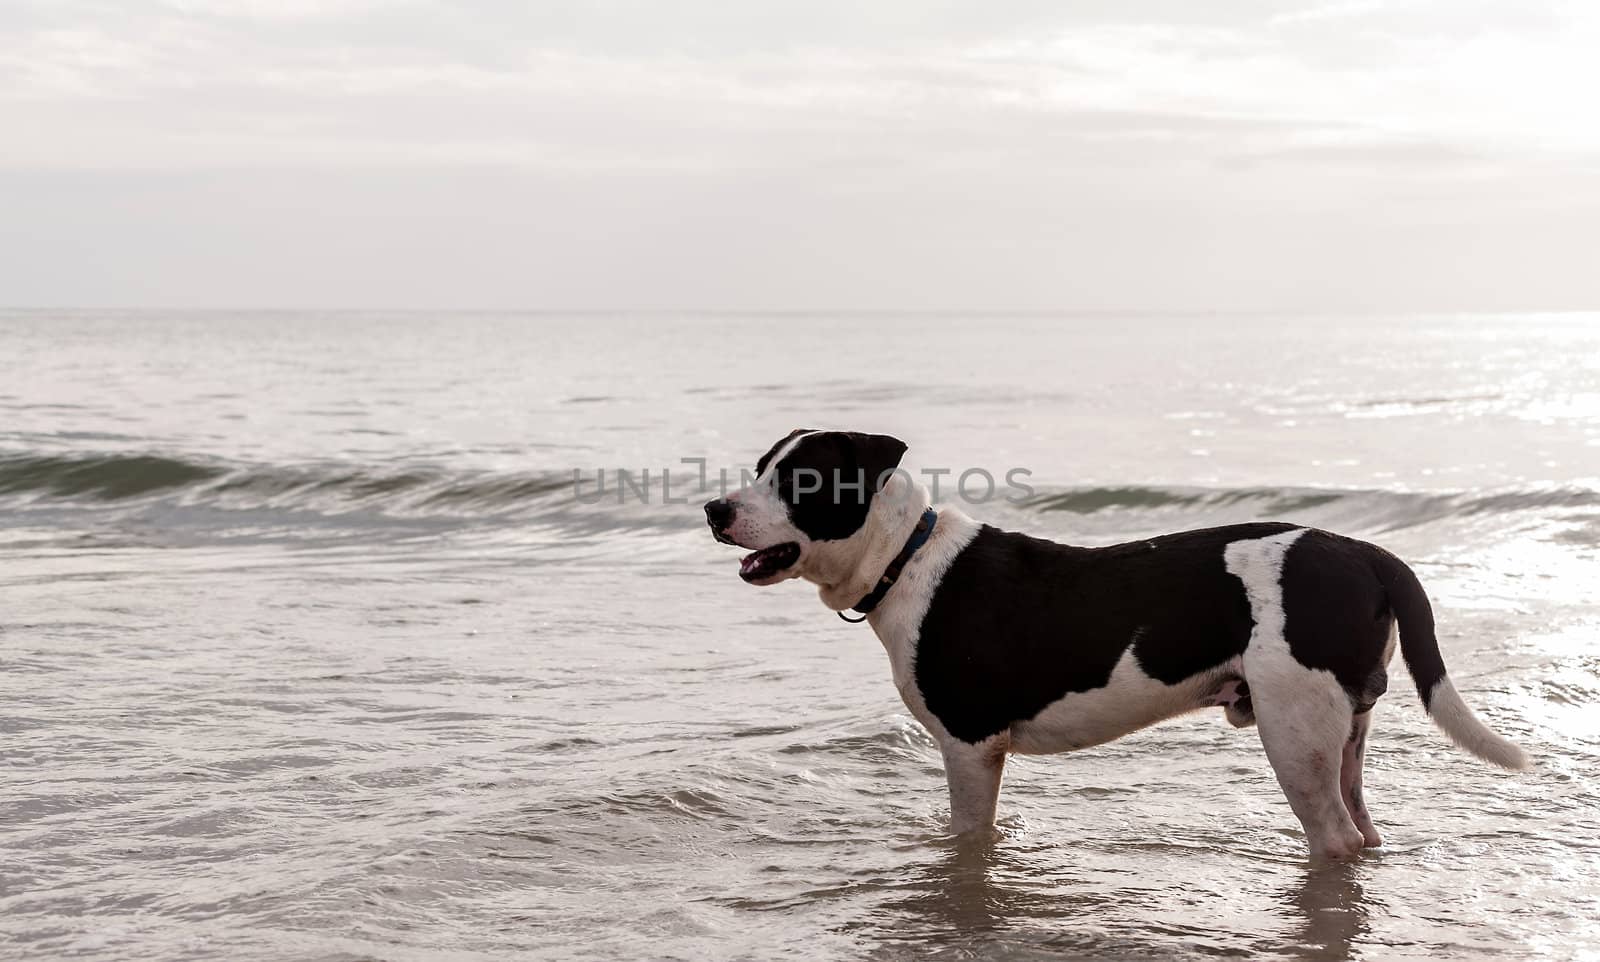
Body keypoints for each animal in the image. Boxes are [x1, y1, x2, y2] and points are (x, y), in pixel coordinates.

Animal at [707, 428, 1529, 857]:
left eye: (800, 479)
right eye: (759, 469)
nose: (715, 508)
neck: (904, 559)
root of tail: (1363, 552)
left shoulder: (971, 748)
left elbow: (969, 832)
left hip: (1295, 733)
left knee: (1334, 837)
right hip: (1344, 731)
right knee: (1362, 825)